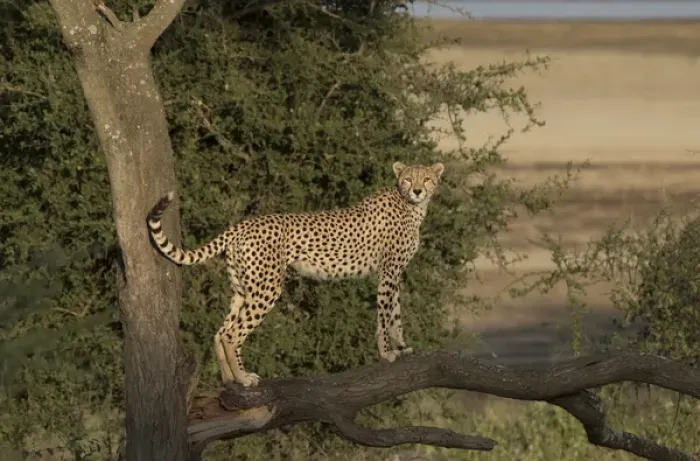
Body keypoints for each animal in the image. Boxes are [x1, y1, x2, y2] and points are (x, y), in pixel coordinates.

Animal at [146, 161, 444, 387]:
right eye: (408, 179)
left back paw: (230, 378)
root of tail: (241, 225)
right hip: (267, 288)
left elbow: (395, 314)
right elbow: (384, 315)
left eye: (427, 179)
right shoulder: (388, 271)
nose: (418, 190)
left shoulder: (395, 273)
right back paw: (242, 379)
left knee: (221, 332)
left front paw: (402, 346)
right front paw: (386, 353)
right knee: (232, 334)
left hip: (242, 289)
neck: (411, 206)